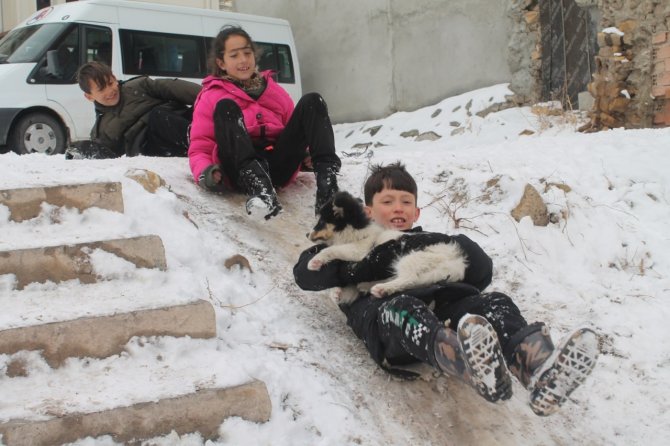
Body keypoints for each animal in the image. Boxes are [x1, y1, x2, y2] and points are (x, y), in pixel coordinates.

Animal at [308, 190, 470, 304]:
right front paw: (336, 292)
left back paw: (382, 289)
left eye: (321, 222)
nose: (306, 234)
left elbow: (331, 249)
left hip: (413, 257)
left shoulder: (360, 251)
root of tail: (456, 261)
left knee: (410, 278)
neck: (357, 231)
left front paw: (315, 262)